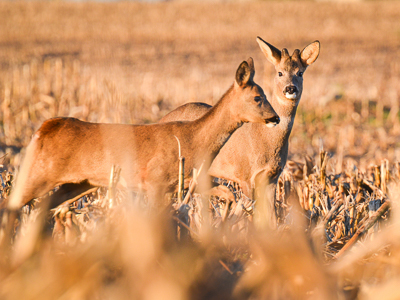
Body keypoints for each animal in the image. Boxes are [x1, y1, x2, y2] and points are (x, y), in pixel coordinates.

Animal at [7, 58, 280, 213]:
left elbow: (227, 194)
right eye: (258, 97)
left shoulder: (184, 182)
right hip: (38, 173)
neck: (193, 139)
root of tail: (41, 130)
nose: (276, 118)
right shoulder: (154, 180)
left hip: (77, 184)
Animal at [161, 37, 320, 227]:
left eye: (300, 73)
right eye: (280, 72)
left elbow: (272, 219)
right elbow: (251, 218)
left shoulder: (272, 177)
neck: (265, 138)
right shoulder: (245, 176)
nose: (290, 89)